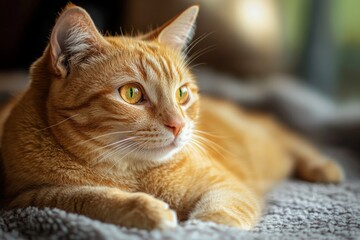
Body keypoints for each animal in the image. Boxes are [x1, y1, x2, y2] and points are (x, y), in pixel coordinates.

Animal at [0, 4, 344, 231]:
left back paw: (322, 166)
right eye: (131, 94)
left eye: (181, 94)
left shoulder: (225, 184)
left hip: (263, 138)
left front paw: (206, 229)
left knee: (286, 136)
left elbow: (223, 211)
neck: (133, 172)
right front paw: (144, 209)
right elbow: (89, 197)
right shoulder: (28, 197)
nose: (178, 125)